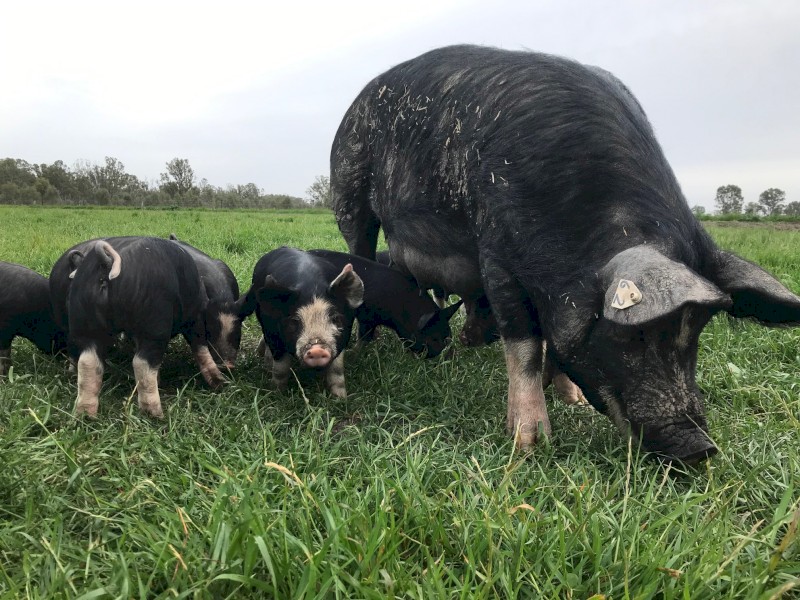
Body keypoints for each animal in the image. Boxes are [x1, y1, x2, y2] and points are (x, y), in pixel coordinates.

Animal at [62, 237, 229, 417]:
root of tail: (106, 262)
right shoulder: (194, 318)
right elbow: (200, 347)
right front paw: (219, 382)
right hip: (154, 322)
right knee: (141, 363)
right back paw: (156, 414)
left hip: (84, 319)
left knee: (88, 361)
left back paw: (85, 415)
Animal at [239, 246, 364, 397]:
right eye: (294, 321)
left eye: (336, 318)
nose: (317, 349)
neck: (312, 287)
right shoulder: (275, 337)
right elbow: (281, 368)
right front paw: (277, 393)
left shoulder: (342, 342)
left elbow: (337, 370)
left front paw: (340, 398)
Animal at [307, 249, 462, 357]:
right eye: (434, 338)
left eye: (448, 337)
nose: (444, 356)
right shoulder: (367, 316)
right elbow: (364, 336)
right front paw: (354, 353)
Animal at [330, 44, 800, 464]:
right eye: (633, 335)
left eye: (698, 332)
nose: (700, 448)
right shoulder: (496, 252)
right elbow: (524, 344)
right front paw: (530, 444)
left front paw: (572, 400)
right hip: (349, 195)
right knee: (362, 253)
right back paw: (369, 346)